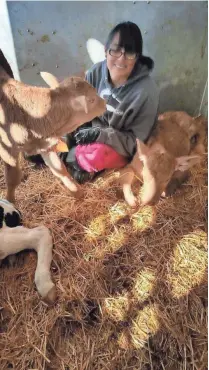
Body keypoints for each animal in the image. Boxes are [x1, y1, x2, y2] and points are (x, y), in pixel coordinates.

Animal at [0, 49, 105, 202]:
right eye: (91, 100)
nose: (105, 103)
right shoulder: (7, 150)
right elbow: (12, 178)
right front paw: (9, 201)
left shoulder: (45, 145)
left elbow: (59, 169)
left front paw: (77, 193)